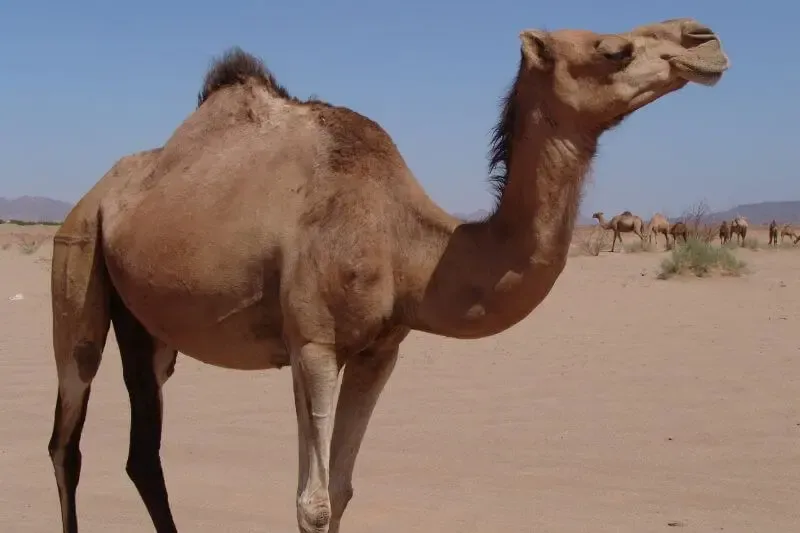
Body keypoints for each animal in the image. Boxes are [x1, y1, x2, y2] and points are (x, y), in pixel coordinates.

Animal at [47, 18, 729, 533]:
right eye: (614, 48)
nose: (706, 39)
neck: (408, 247)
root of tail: (96, 194)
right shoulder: (313, 342)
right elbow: (314, 503)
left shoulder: (381, 349)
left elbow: (344, 490)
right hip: (77, 258)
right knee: (67, 434)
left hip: (147, 326)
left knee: (142, 449)